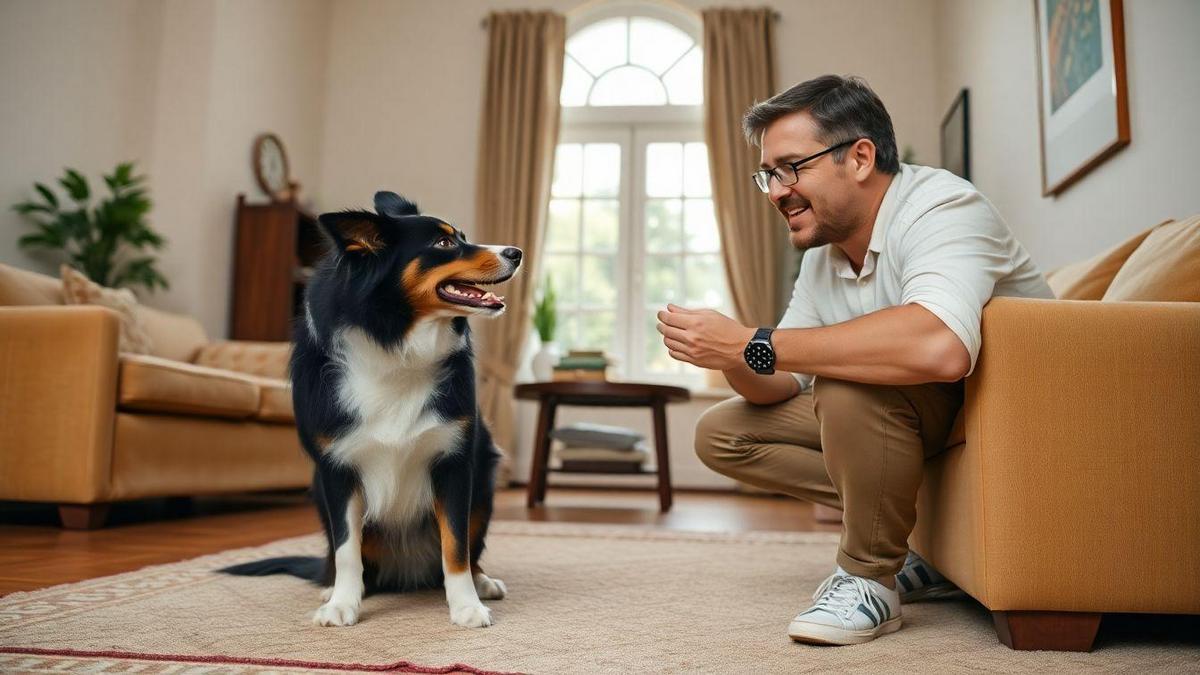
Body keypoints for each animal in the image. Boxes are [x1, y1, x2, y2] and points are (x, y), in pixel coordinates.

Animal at [223, 189, 523, 624]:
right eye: (444, 243)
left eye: (462, 237)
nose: (516, 252)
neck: (397, 343)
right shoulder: (337, 469)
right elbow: (348, 549)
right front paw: (342, 604)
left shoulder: (455, 462)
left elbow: (456, 546)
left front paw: (466, 606)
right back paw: (331, 587)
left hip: (484, 475)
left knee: (470, 547)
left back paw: (484, 582)